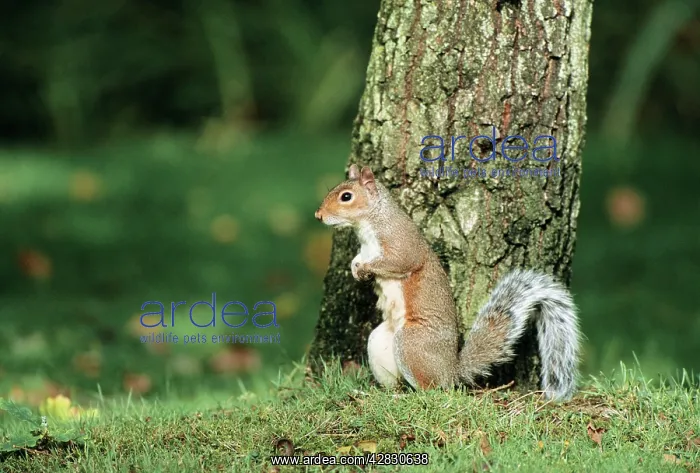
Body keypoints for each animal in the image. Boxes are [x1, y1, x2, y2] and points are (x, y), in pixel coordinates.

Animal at [314, 164, 581, 401]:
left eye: (346, 197)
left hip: (411, 343)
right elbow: (357, 259)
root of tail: (451, 371)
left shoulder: (401, 244)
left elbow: (399, 262)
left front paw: (366, 269)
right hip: (379, 343)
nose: (319, 215)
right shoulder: (364, 249)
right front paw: (356, 270)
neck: (371, 222)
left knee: (432, 390)